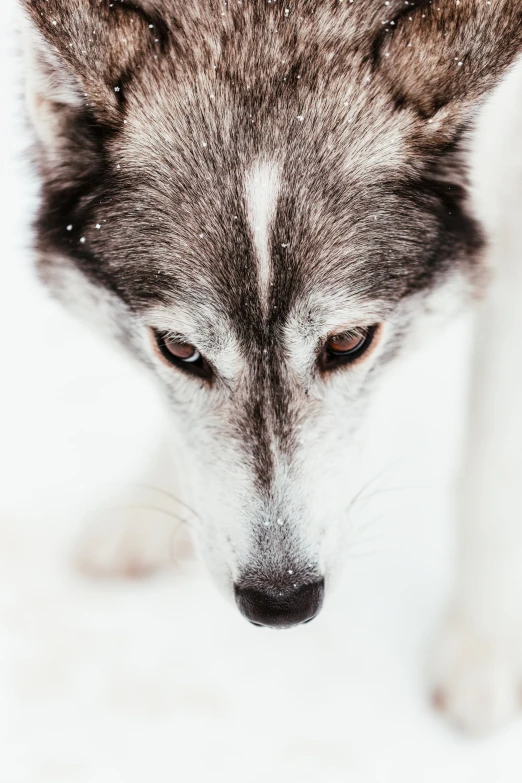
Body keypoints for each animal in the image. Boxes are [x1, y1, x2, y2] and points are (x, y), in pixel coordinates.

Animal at [21, 0, 522, 736]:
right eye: (179, 349)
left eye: (349, 341)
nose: (282, 601)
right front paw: (149, 505)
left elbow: (492, 470)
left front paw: (484, 644)